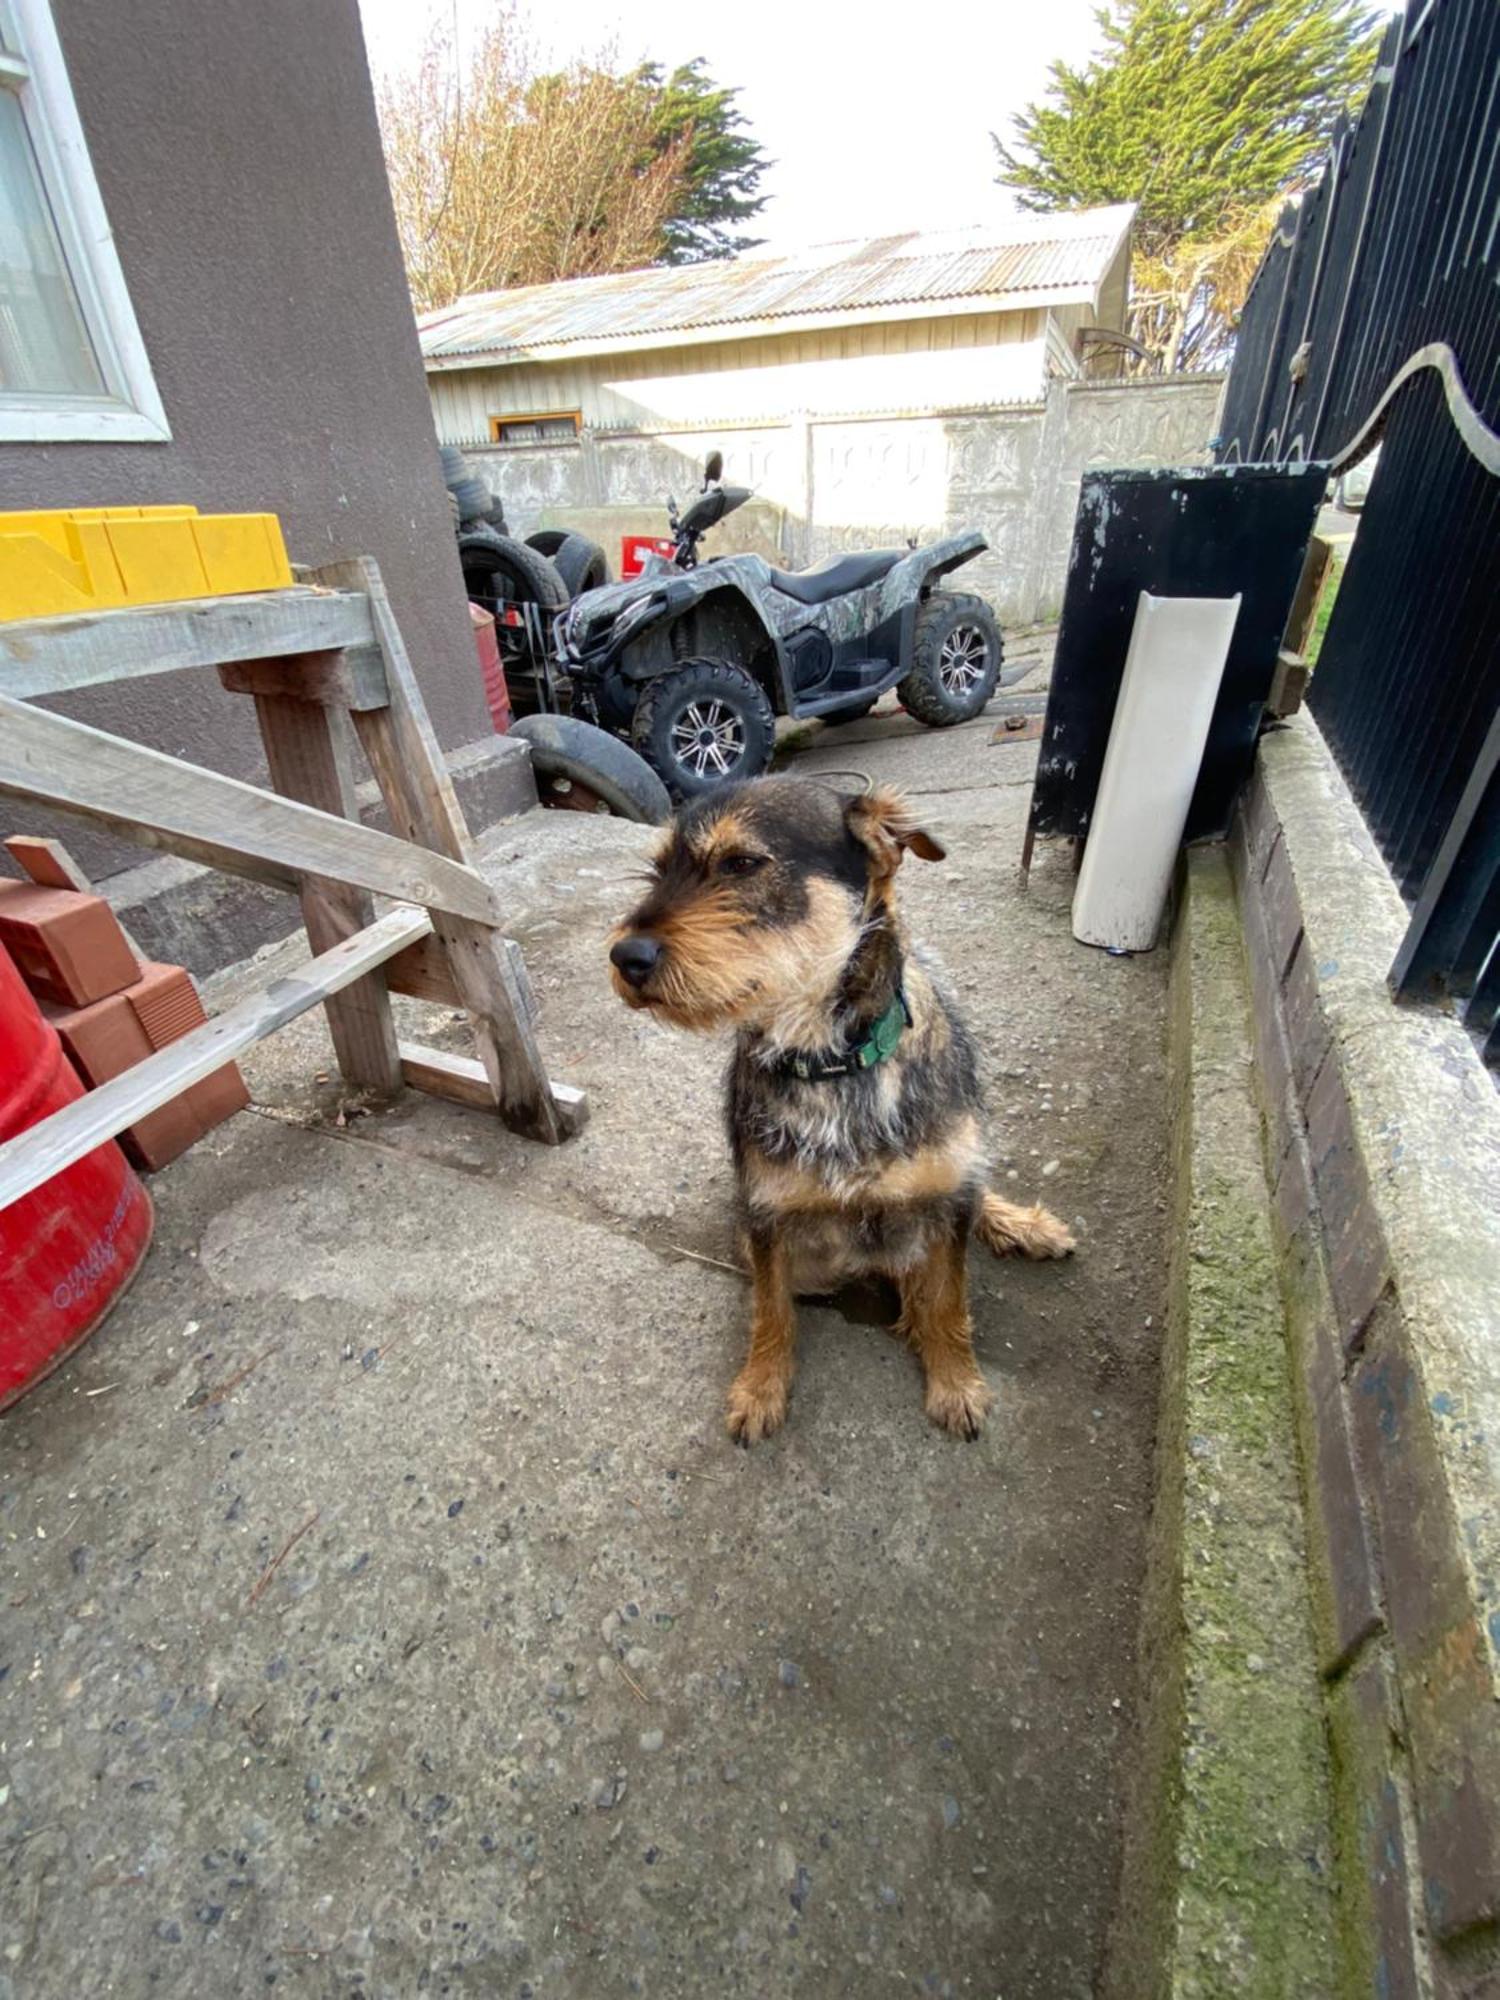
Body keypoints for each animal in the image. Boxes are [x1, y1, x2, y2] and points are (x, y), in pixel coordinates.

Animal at [612, 772, 1080, 1448]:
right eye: (657, 869)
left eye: (742, 863)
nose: (625, 958)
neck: (831, 1060)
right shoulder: (763, 1217)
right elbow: (771, 1309)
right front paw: (760, 1388)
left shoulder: (941, 1215)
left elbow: (947, 1298)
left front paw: (955, 1381)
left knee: (972, 1185)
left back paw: (1023, 1224)